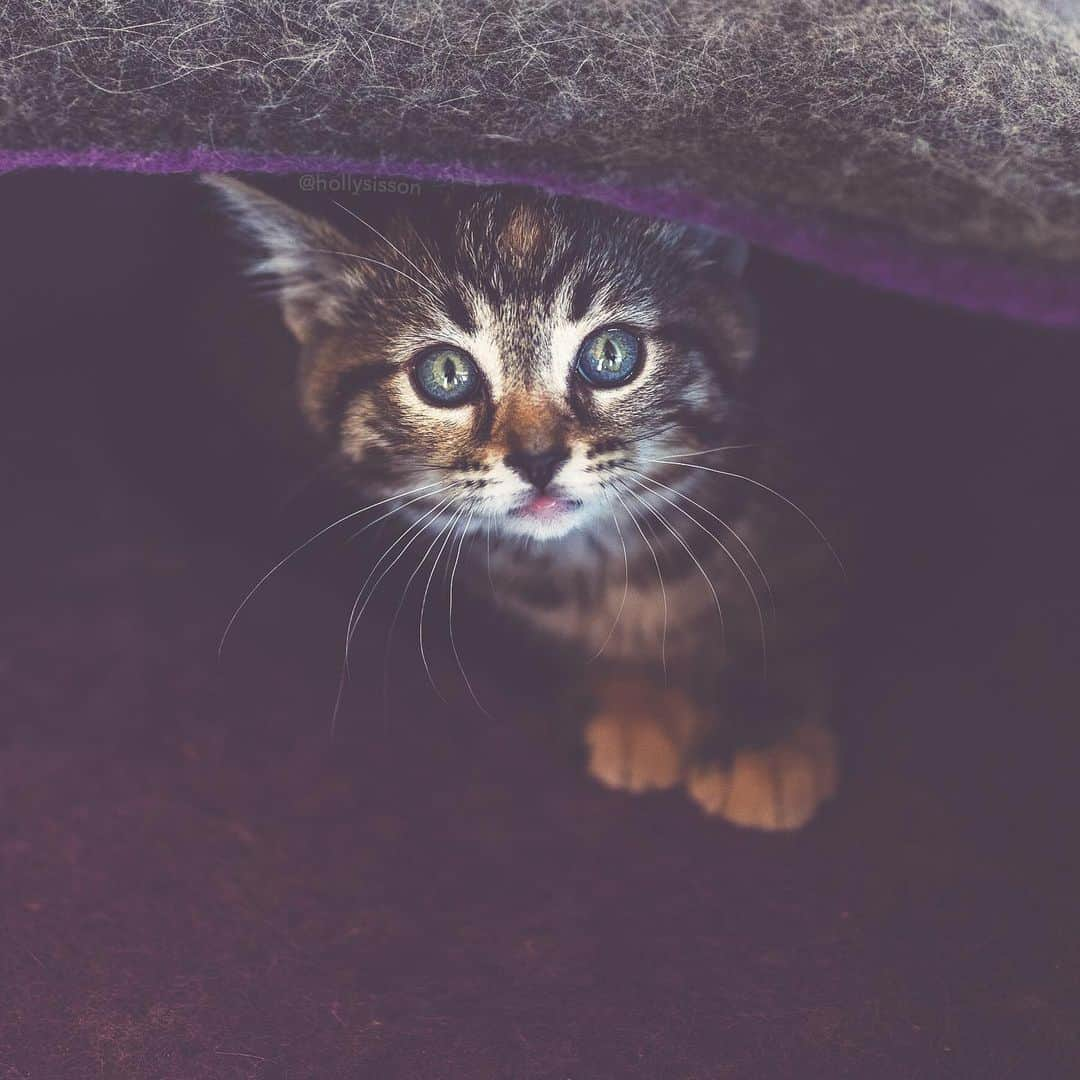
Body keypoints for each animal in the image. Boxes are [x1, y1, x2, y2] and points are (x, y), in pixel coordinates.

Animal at [204, 177, 842, 829]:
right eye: (446, 372)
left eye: (611, 354)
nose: (537, 460)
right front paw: (635, 703)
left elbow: (795, 609)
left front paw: (766, 732)